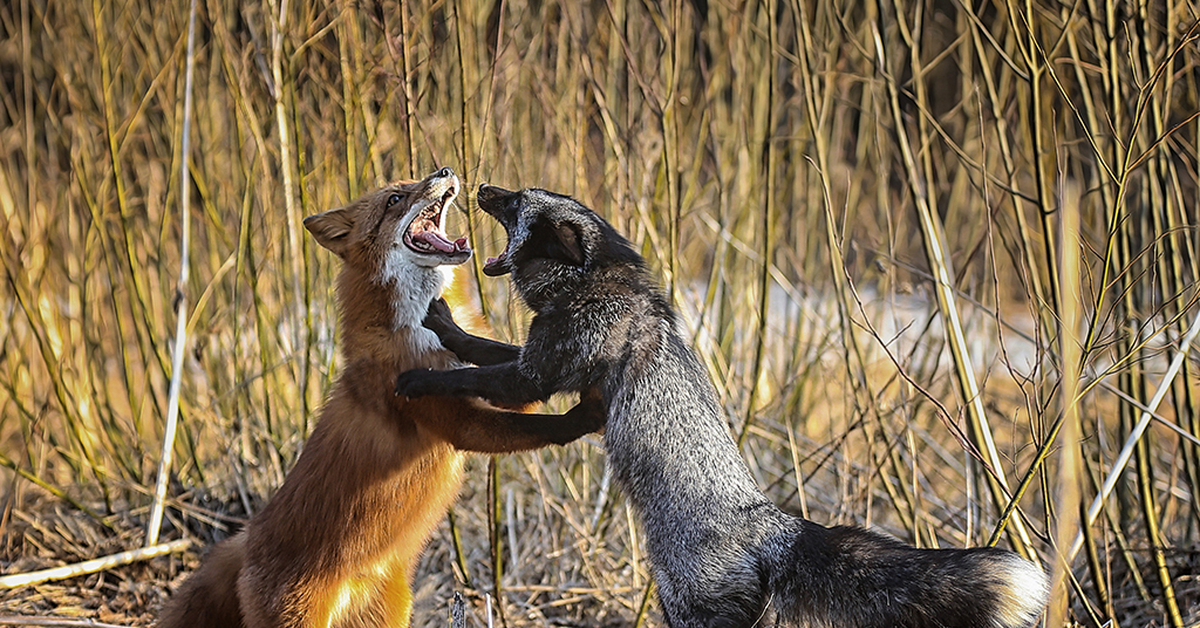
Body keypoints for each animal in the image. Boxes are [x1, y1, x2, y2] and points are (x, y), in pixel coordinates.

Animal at [159, 168, 604, 628]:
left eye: (416, 179)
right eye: (394, 199)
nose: (444, 171)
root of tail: (245, 540)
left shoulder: (494, 384)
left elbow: (510, 374)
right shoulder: (458, 423)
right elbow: (536, 424)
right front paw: (587, 414)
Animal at [396, 184, 1051, 624]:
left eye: (515, 203)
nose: (482, 185)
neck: (596, 287)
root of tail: (773, 526)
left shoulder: (537, 372)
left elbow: (474, 370)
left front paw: (418, 375)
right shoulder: (548, 365)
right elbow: (485, 352)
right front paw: (442, 325)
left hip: (686, 608)